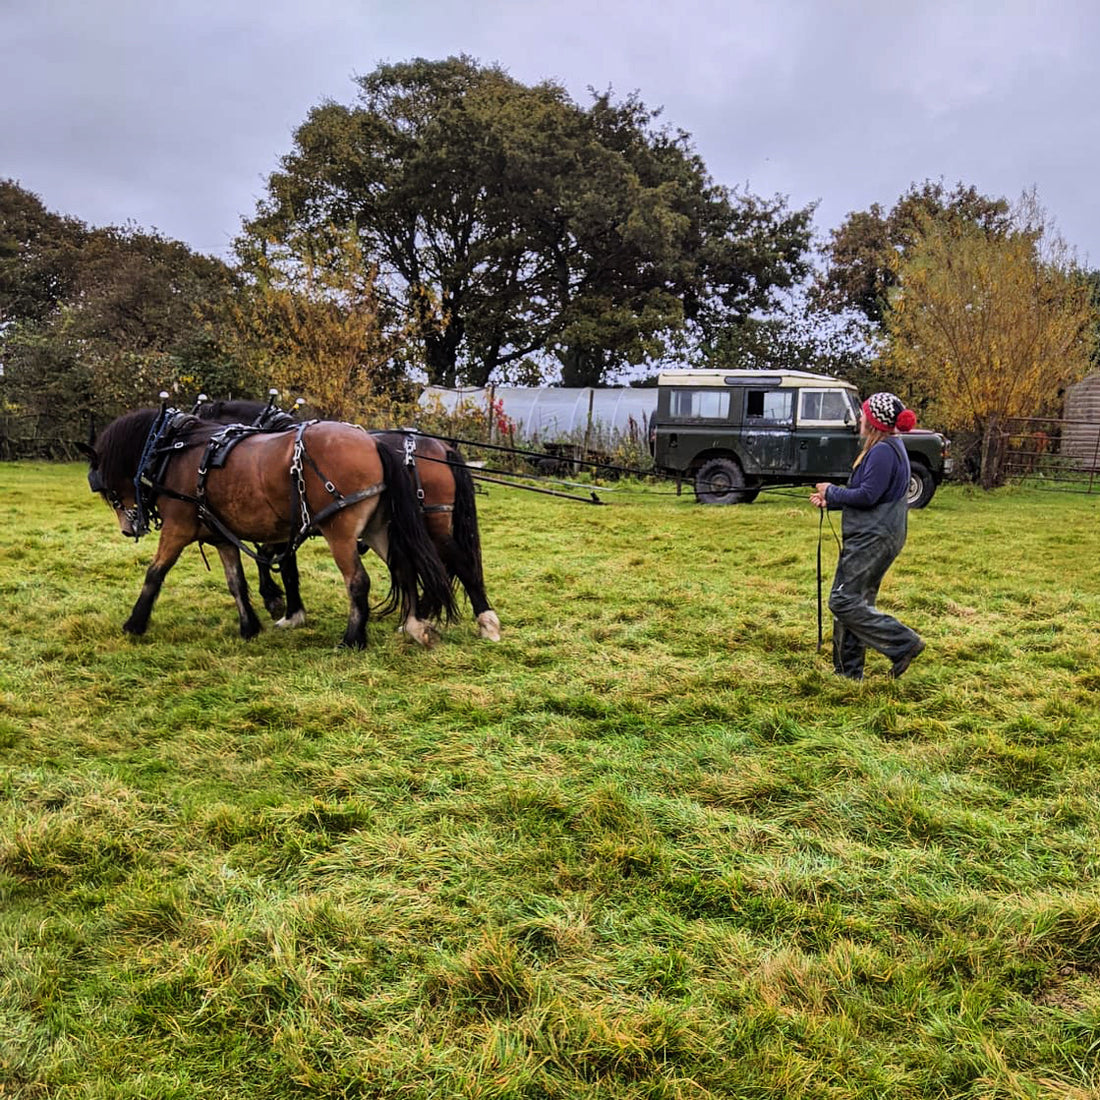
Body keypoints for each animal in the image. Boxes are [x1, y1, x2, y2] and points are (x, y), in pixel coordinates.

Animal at [79, 404, 453, 642]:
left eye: (108, 490)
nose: (128, 528)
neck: (171, 449)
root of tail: (373, 442)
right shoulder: (221, 536)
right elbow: (236, 582)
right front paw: (249, 627)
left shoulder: (178, 527)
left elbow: (155, 573)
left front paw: (135, 624)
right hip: (376, 528)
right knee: (404, 567)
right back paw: (414, 626)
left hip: (341, 531)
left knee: (358, 581)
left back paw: (353, 638)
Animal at [194, 396, 503, 642]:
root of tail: (443, 448)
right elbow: (281, 564)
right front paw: (287, 607)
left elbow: (278, 563)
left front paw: (280, 605)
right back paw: (423, 616)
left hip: (432, 523)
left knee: (458, 564)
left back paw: (485, 623)